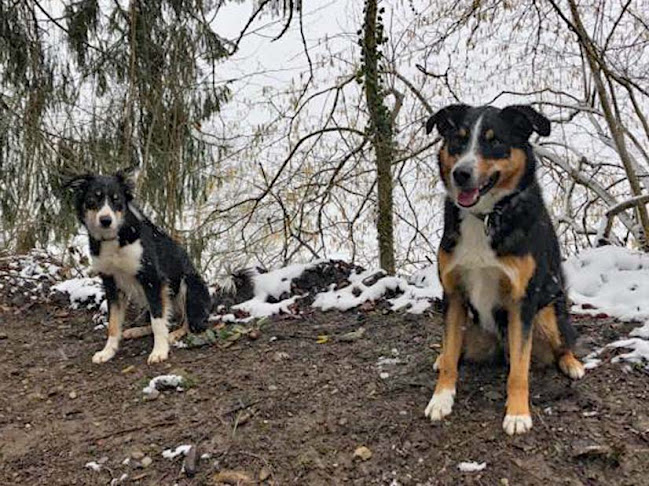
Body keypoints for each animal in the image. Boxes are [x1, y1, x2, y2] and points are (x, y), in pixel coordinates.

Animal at [65, 171, 210, 364]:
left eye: (116, 199)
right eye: (92, 199)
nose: (105, 220)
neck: (115, 238)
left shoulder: (152, 280)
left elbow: (158, 321)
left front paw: (160, 350)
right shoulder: (111, 284)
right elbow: (113, 323)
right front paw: (108, 351)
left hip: (188, 284)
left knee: (188, 322)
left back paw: (173, 335)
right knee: (166, 318)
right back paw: (137, 331)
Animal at [426, 104, 584, 434]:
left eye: (494, 141)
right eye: (458, 139)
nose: (461, 173)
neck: (485, 216)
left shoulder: (521, 301)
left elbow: (519, 371)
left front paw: (518, 414)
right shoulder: (454, 295)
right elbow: (450, 358)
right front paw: (441, 398)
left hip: (548, 314)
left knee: (564, 343)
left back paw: (572, 363)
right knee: (454, 350)